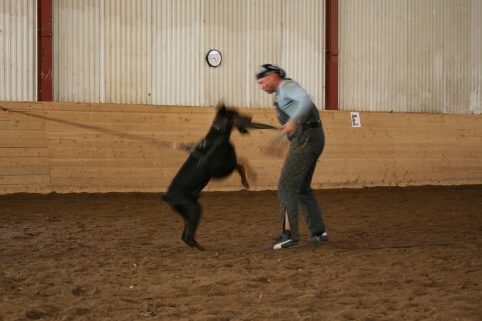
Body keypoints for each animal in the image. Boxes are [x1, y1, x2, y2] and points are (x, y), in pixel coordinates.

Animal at [163, 104, 268, 250]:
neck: (217, 135)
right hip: (194, 209)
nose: (251, 117)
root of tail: (168, 196)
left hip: (186, 214)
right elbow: (241, 163)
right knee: (189, 236)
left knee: (184, 235)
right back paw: (201, 248)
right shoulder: (222, 170)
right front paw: (247, 181)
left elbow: (241, 163)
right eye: (236, 113)